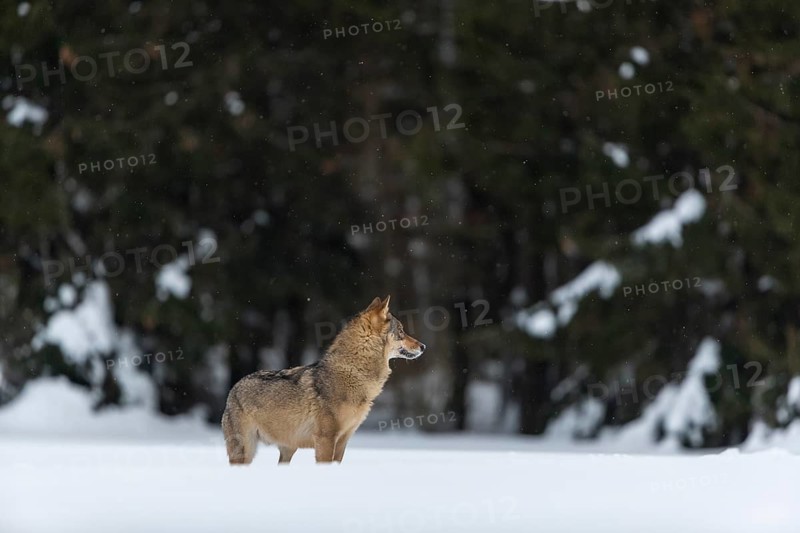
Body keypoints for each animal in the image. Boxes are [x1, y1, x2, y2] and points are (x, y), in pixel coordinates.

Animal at [221, 296, 425, 465]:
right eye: (401, 331)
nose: (423, 346)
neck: (354, 373)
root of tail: (234, 387)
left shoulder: (343, 440)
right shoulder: (325, 439)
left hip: (287, 450)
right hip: (245, 452)